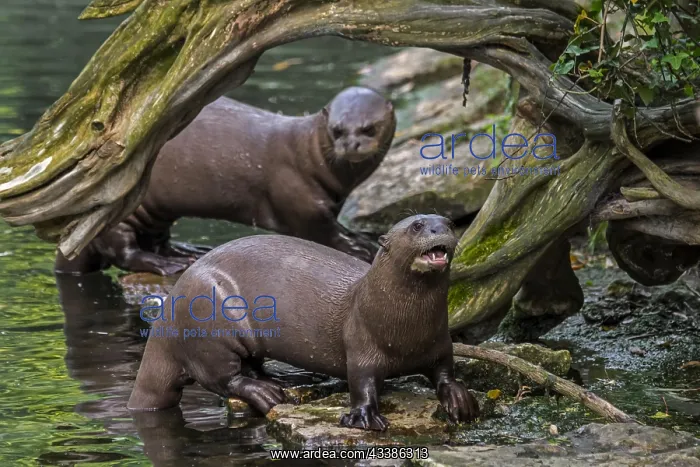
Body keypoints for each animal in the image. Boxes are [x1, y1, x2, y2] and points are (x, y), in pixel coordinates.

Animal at [55, 87, 396, 275]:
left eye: (369, 128)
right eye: (337, 130)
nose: (351, 144)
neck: (311, 156)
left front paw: (363, 239)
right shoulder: (299, 201)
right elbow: (321, 232)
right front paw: (357, 248)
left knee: (156, 240)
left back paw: (186, 251)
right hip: (117, 213)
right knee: (124, 252)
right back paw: (168, 264)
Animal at [127, 214, 479, 430]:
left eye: (449, 223)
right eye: (417, 226)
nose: (440, 230)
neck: (406, 328)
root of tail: (166, 319)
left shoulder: (440, 341)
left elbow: (445, 371)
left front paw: (460, 398)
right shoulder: (361, 345)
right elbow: (361, 382)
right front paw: (363, 417)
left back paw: (282, 381)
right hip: (211, 326)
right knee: (223, 378)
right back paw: (267, 392)